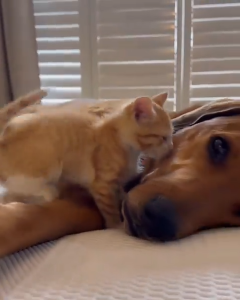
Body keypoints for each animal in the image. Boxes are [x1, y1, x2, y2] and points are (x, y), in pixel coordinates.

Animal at [0, 92, 172, 226]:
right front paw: (116, 226)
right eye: (163, 138)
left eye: (170, 136)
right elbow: (110, 211)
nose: (171, 148)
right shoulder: (102, 185)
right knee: (25, 185)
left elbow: (121, 195)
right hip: (48, 167)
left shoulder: (117, 183)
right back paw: (49, 193)